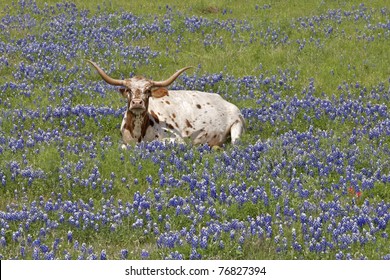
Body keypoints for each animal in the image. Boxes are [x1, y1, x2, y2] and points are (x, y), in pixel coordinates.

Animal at [88, 61, 245, 149]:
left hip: (237, 126)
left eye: (148, 90)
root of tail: (223, 100)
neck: (138, 131)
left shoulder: (177, 140)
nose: (137, 103)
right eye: (128, 90)